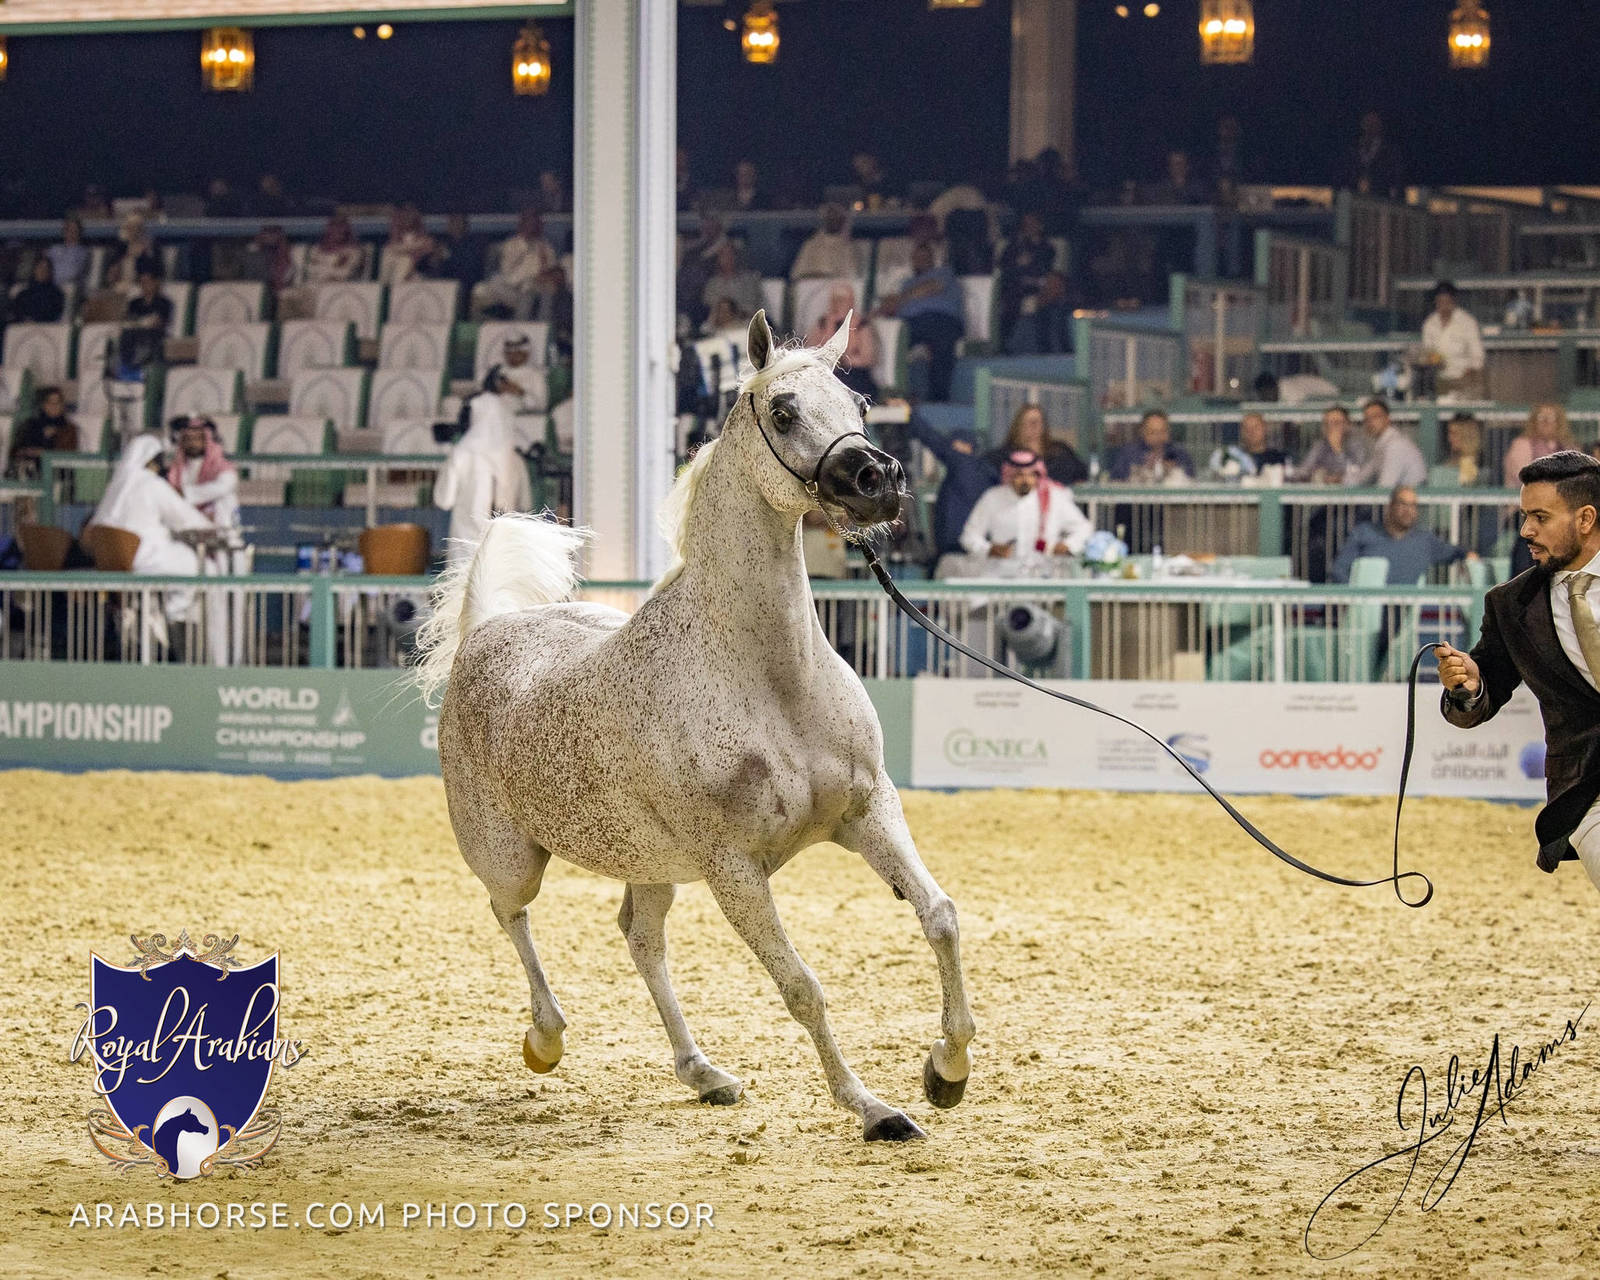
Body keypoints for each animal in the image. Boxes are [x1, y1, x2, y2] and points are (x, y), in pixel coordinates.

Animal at [416, 310, 976, 1141]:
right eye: (784, 410)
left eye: (859, 403)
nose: (879, 480)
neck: (771, 680)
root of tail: (487, 629)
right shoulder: (732, 867)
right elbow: (802, 987)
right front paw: (873, 1109)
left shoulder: (869, 809)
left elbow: (938, 917)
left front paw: (947, 1069)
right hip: (512, 857)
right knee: (510, 912)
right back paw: (546, 1039)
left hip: (651, 864)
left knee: (640, 938)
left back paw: (703, 1073)